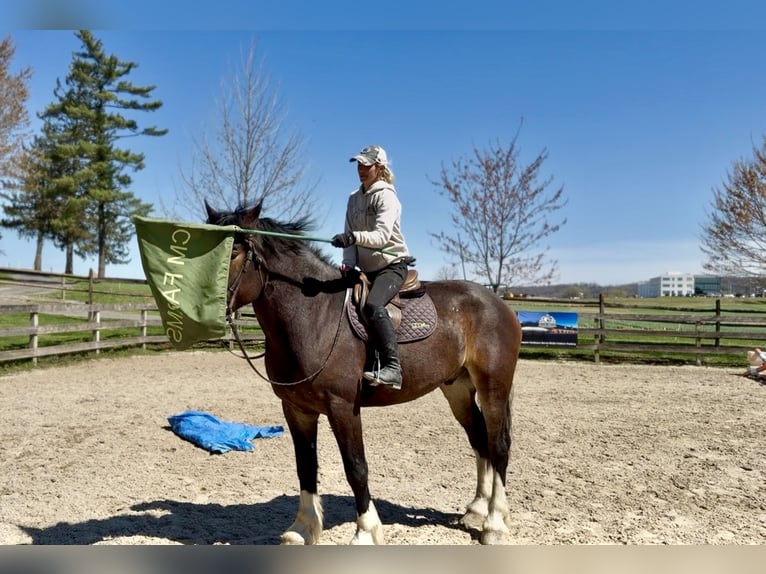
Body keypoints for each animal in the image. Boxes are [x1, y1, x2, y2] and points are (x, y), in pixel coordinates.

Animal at [205, 200, 522, 545]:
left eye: (235, 251)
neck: (316, 315)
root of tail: (498, 303)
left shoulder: (343, 407)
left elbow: (356, 467)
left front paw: (366, 531)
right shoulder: (296, 409)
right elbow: (306, 466)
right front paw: (302, 528)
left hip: (493, 386)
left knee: (498, 445)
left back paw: (493, 523)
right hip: (458, 389)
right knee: (479, 440)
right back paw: (477, 509)